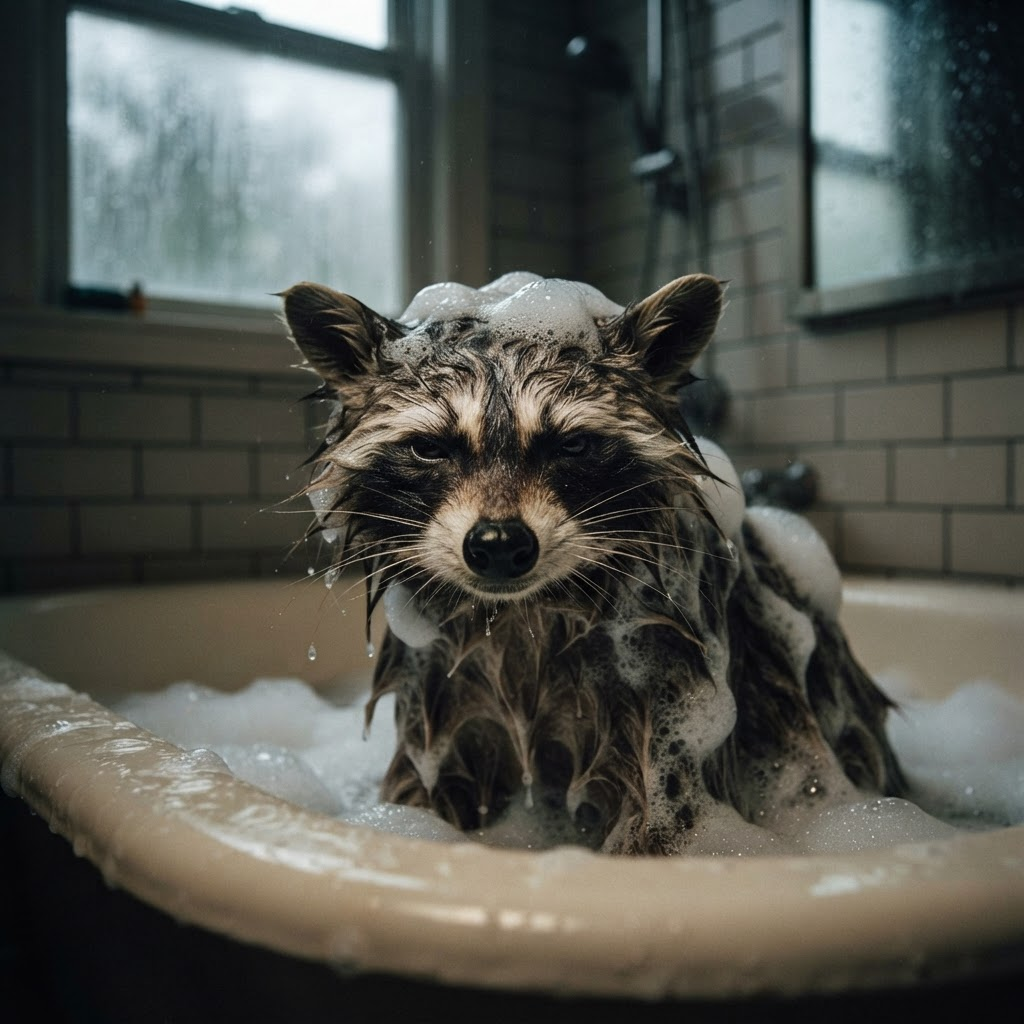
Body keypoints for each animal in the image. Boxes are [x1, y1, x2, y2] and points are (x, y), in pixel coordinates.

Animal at [281, 272, 905, 855]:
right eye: (430, 447)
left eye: (572, 445)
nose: (499, 544)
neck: (524, 611)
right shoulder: (435, 690)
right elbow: (420, 796)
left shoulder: (668, 686)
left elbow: (660, 824)